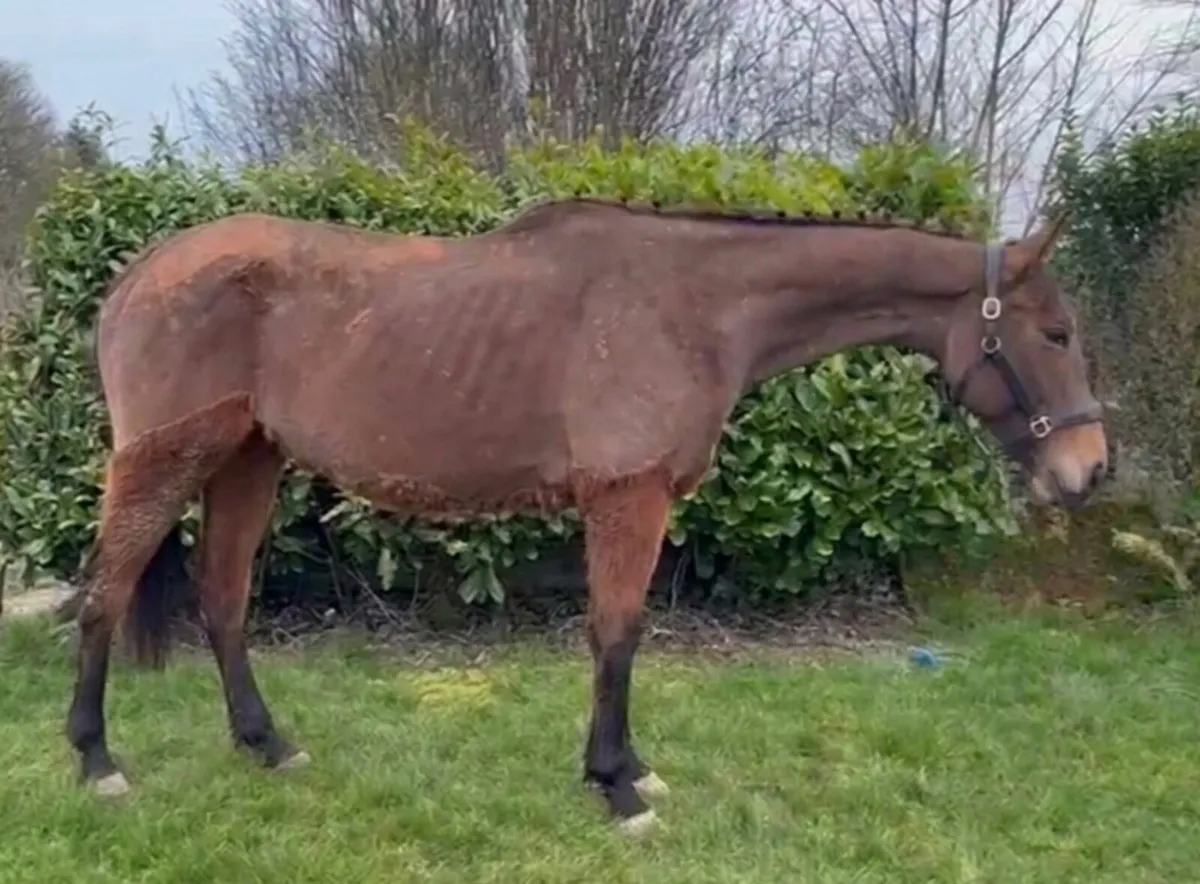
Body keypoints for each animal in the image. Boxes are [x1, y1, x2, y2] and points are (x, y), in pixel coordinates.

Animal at [64, 197, 1107, 836]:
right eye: (1055, 333)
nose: (1090, 470)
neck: (697, 305)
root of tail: (138, 276)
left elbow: (621, 634)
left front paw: (630, 770)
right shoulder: (625, 498)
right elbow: (616, 633)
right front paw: (617, 787)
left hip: (248, 460)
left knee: (222, 601)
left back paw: (267, 746)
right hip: (162, 461)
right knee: (103, 597)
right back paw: (96, 761)